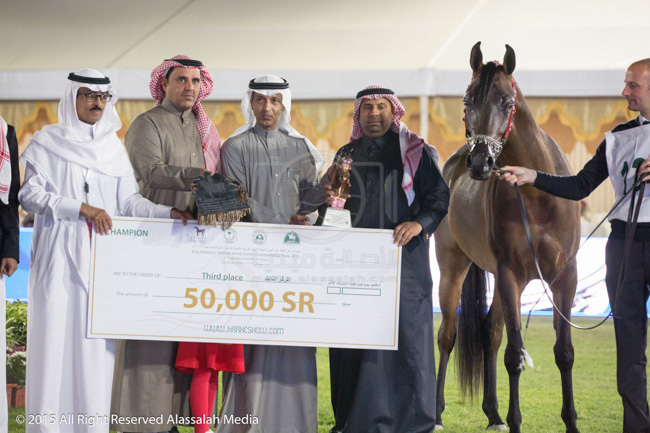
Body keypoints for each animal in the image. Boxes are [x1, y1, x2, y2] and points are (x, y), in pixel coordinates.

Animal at [434, 42, 581, 433]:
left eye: (506, 101)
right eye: (467, 99)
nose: (480, 162)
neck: (537, 196)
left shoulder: (565, 276)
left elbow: (564, 352)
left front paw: (571, 421)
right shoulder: (510, 275)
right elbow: (514, 355)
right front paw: (516, 421)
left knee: (490, 333)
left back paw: (493, 414)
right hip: (454, 269)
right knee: (447, 336)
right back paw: (436, 413)